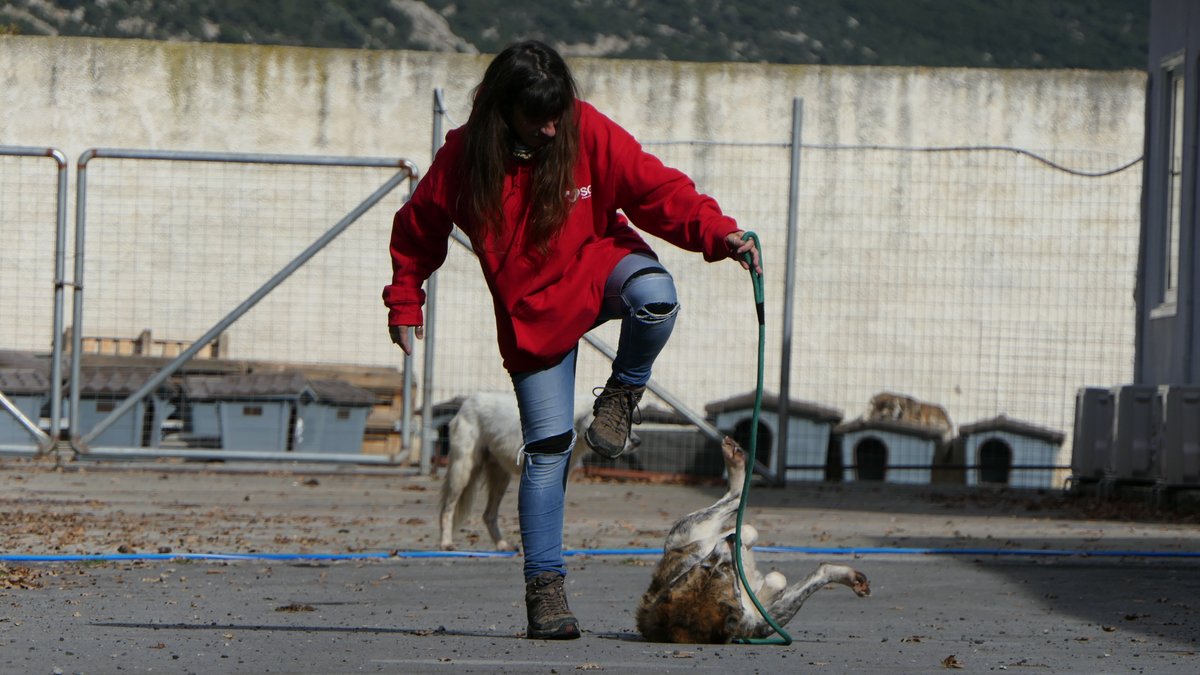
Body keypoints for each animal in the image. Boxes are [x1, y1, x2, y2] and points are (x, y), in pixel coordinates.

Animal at [437, 391, 633, 551]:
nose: (637, 442)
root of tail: (467, 402)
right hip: (463, 471)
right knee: (447, 509)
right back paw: (446, 543)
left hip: (500, 478)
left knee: (488, 515)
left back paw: (503, 545)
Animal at [636, 437, 870, 643]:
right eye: (723, 574)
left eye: (704, 567)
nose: (731, 541)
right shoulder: (765, 621)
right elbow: (778, 579)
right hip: (689, 530)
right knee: (737, 504)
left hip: (693, 529)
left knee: (736, 498)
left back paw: (735, 461)